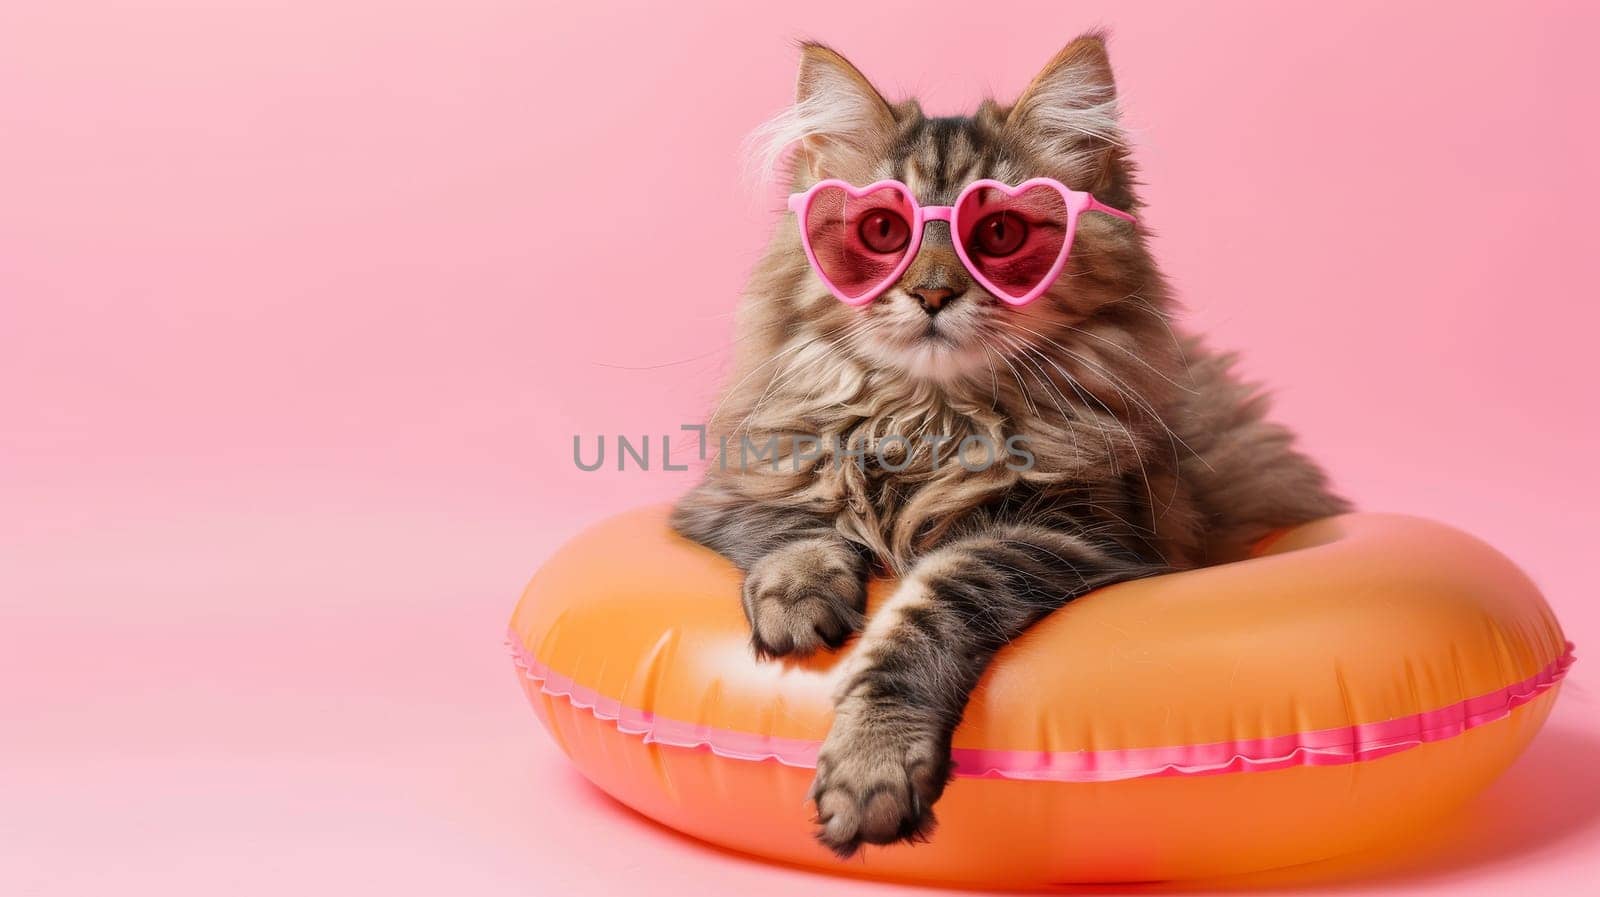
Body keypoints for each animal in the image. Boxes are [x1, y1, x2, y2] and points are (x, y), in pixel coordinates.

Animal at [668, 34, 1344, 857]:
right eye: (882, 233)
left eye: (998, 235)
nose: (931, 292)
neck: (927, 420)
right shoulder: (724, 495)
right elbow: (794, 525)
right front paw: (799, 600)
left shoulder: (1073, 533)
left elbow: (928, 608)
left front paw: (870, 770)